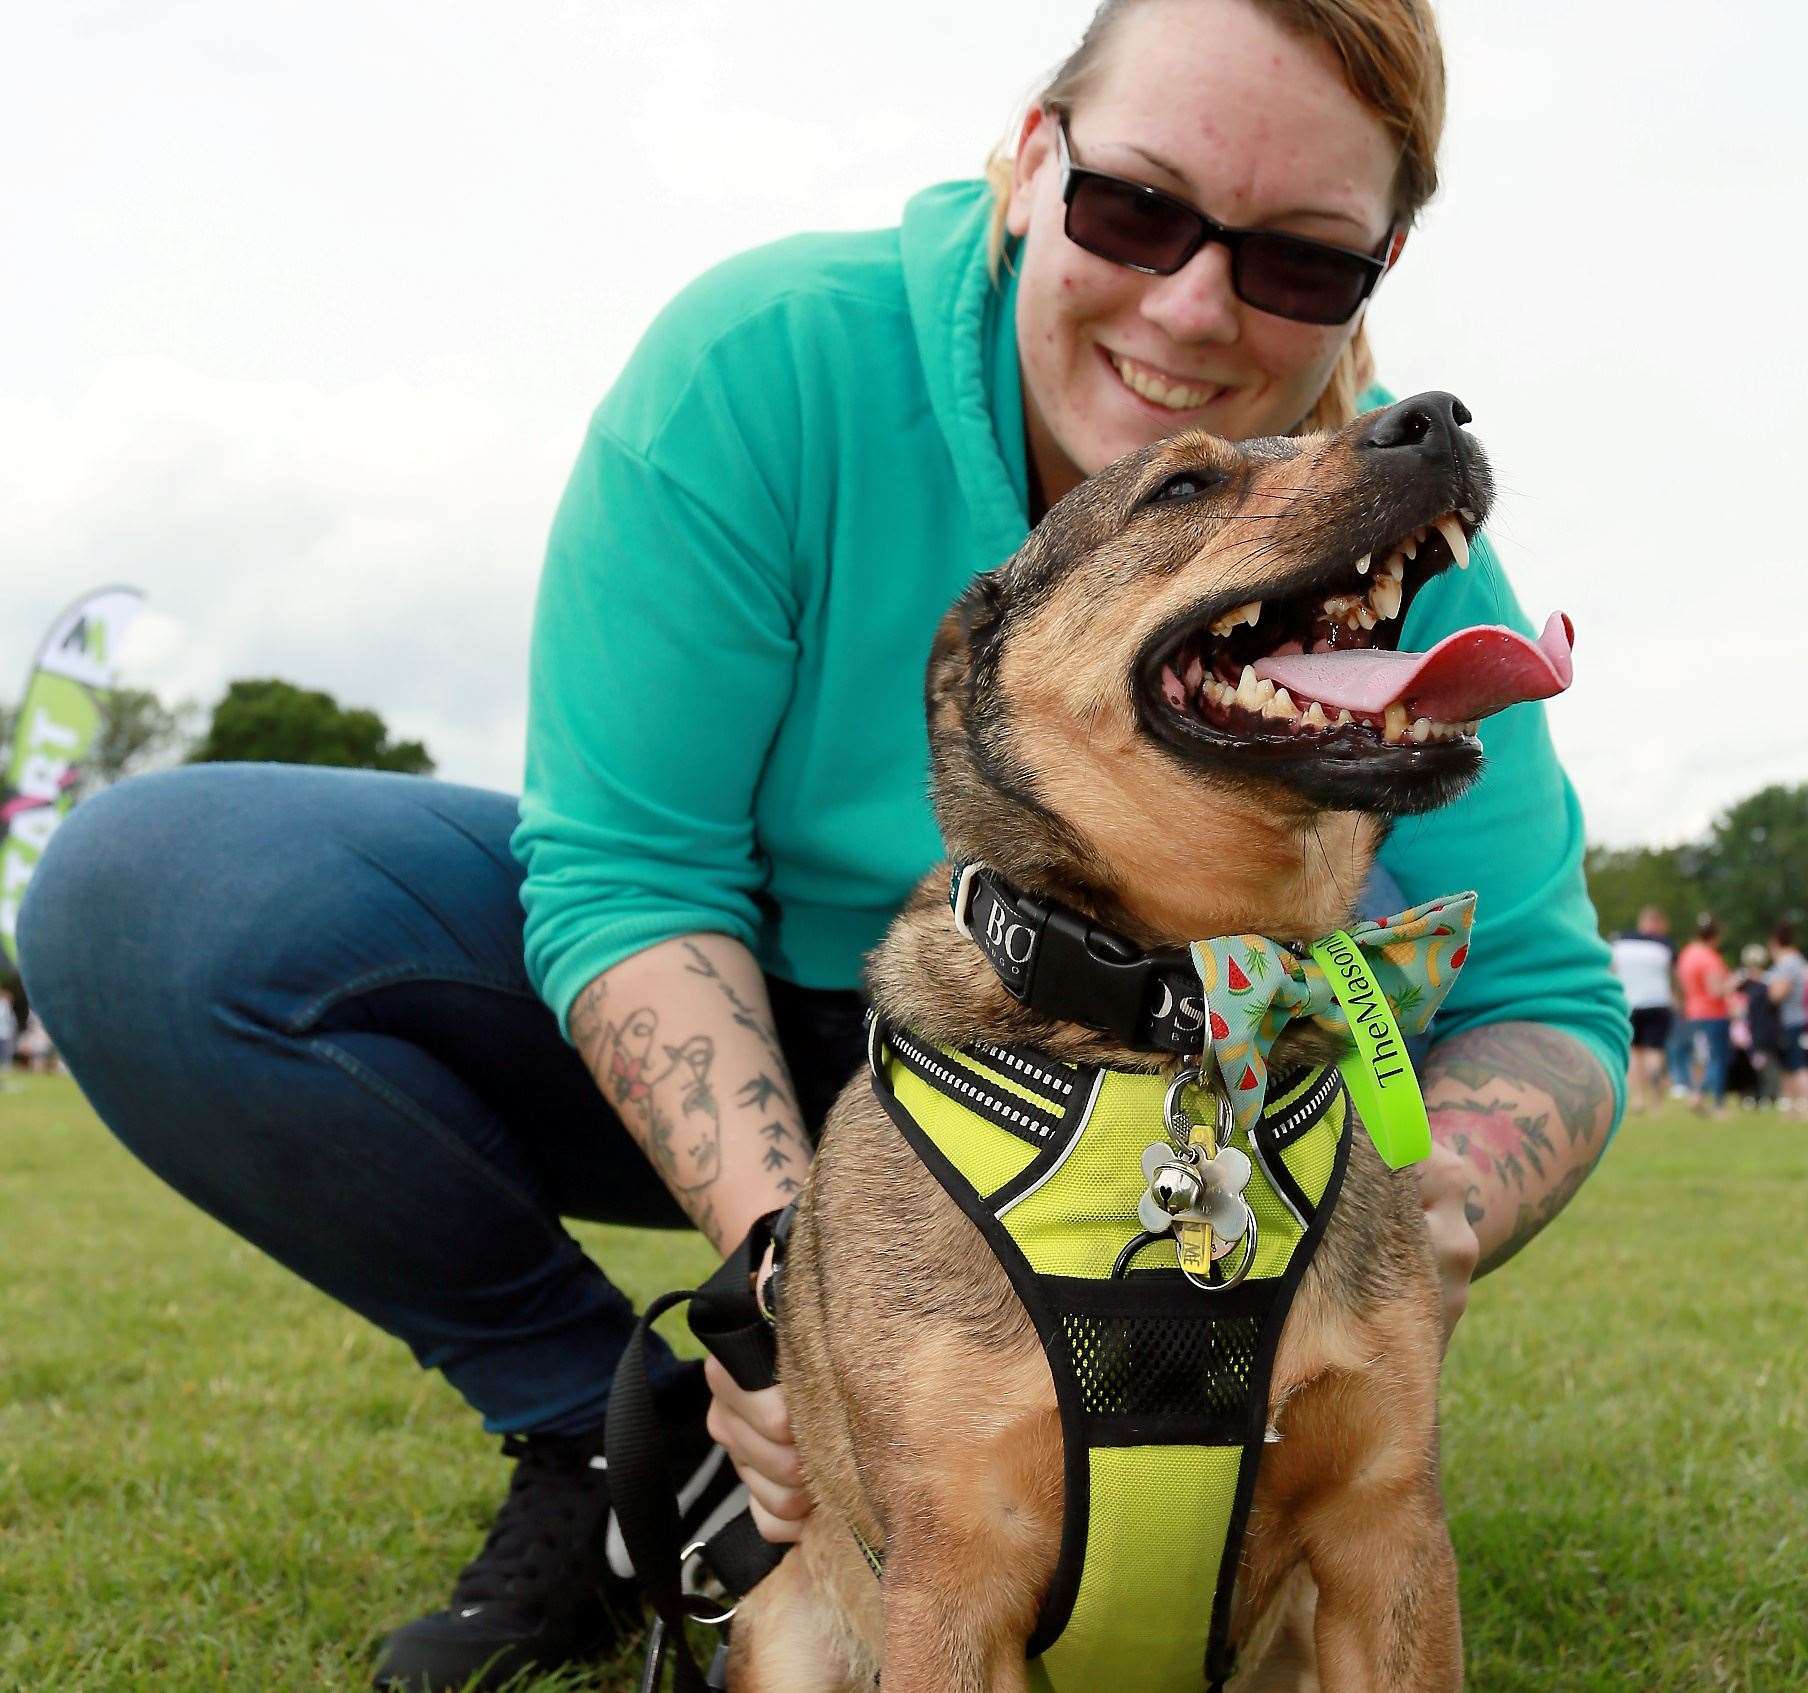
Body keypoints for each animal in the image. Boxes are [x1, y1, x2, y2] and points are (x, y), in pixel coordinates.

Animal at [726, 390, 1576, 1685]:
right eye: (1180, 488)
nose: (1434, 415)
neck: (1189, 1002)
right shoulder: (951, 1582)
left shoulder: (1387, 1534)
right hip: (782, 1627)